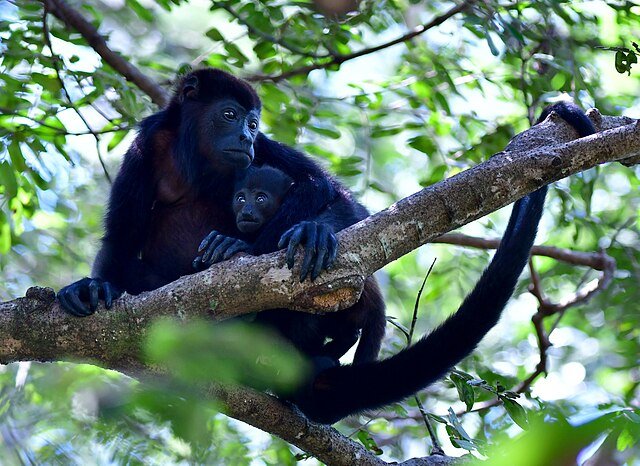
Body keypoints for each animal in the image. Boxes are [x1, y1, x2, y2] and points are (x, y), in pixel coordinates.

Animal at [56, 67, 596, 424]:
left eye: (253, 123)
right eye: (230, 115)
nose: (245, 136)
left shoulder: (264, 155)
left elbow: (337, 198)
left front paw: (298, 234)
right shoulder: (146, 145)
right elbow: (120, 239)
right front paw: (90, 289)